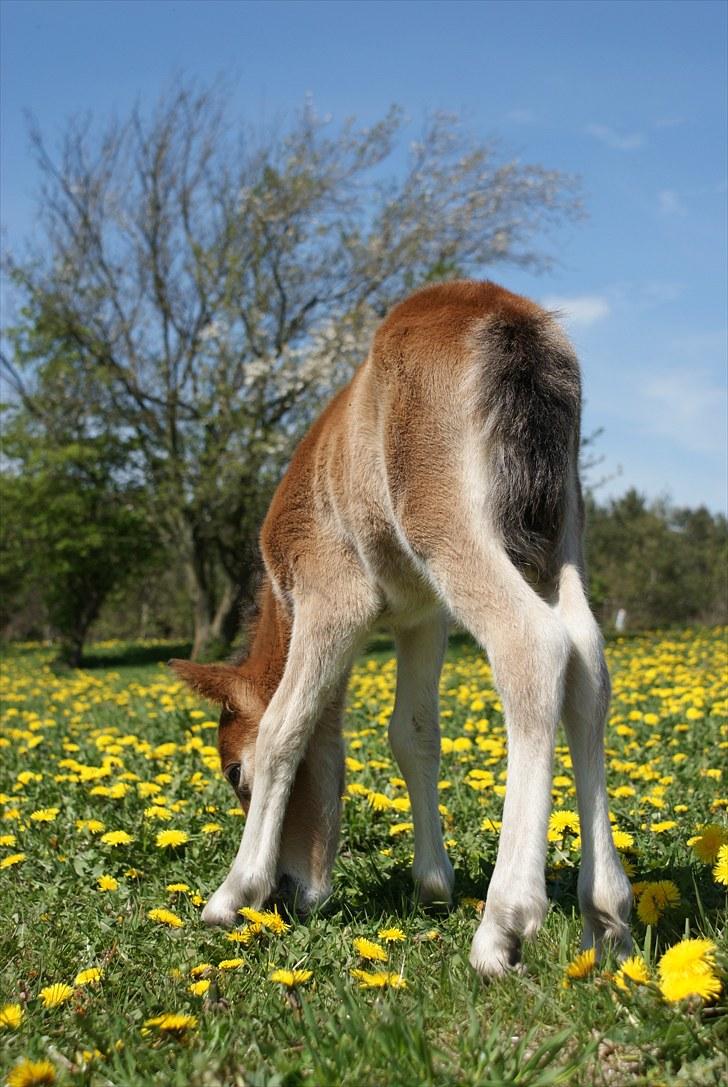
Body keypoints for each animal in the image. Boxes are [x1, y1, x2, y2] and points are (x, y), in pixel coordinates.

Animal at [172, 280, 634, 978]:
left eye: (233, 773)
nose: (287, 892)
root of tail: (510, 319)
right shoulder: (423, 616)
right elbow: (412, 733)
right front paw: (434, 884)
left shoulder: (331, 596)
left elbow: (284, 725)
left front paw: (231, 894)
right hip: (563, 531)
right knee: (587, 658)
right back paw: (605, 915)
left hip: (445, 520)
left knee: (533, 645)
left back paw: (504, 923)